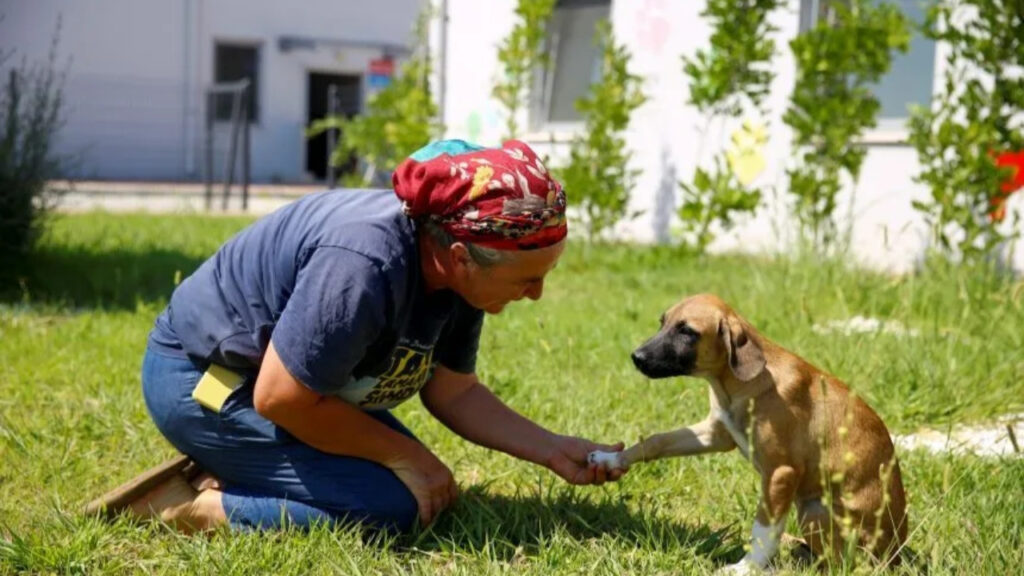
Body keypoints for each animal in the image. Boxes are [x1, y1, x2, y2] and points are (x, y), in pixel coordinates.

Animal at [589, 293, 909, 569]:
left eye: (687, 332)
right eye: (662, 322)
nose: (637, 357)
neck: (739, 383)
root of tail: (895, 555)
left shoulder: (780, 473)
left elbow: (764, 529)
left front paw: (747, 567)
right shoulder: (716, 434)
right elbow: (657, 441)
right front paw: (609, 459)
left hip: (816, 509)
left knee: (838, 563)